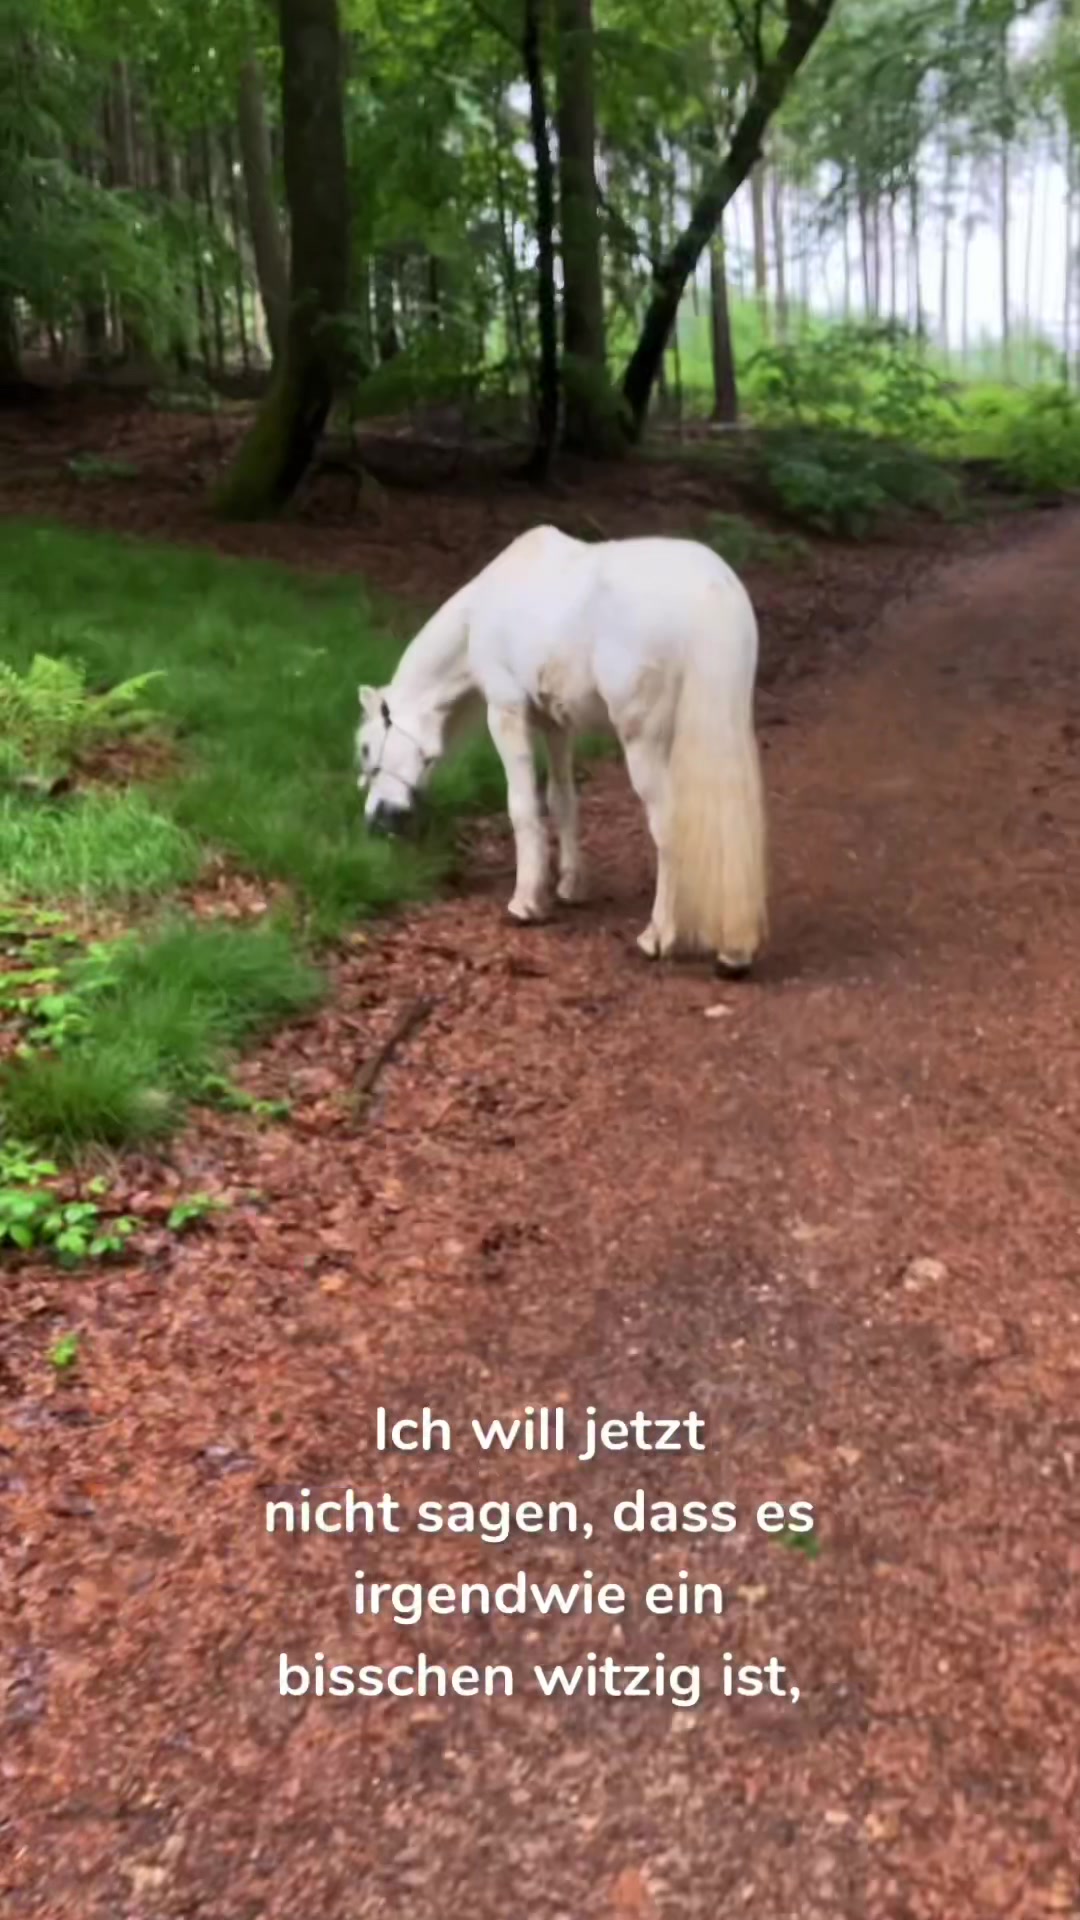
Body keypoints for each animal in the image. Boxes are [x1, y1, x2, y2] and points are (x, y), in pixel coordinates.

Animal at [355, 525, 768, 976]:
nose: (376, 820)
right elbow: (562, 799)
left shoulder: (507, 712)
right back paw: (734, 951)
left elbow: (523, 807)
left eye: (367, 749)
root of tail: (712, 588)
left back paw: (657, 936)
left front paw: (526, 903)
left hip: (645, 743)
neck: (482, 610)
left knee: (669, 828)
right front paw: (571, 885)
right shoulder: (556, 724)